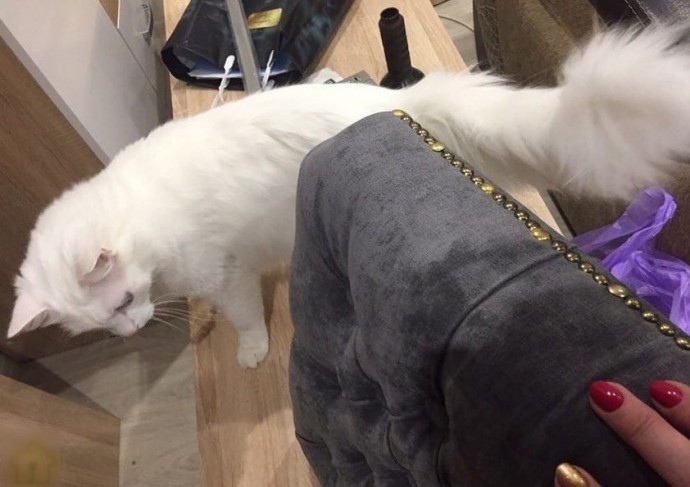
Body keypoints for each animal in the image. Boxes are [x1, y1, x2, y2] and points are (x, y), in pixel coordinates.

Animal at [7, 25, 690, 368]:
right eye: (102, 323)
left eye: (123, 301)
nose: (130, 330)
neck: (144, 215)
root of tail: (401, 100)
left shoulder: (225, 273)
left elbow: (245, 318)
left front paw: (251, 352)